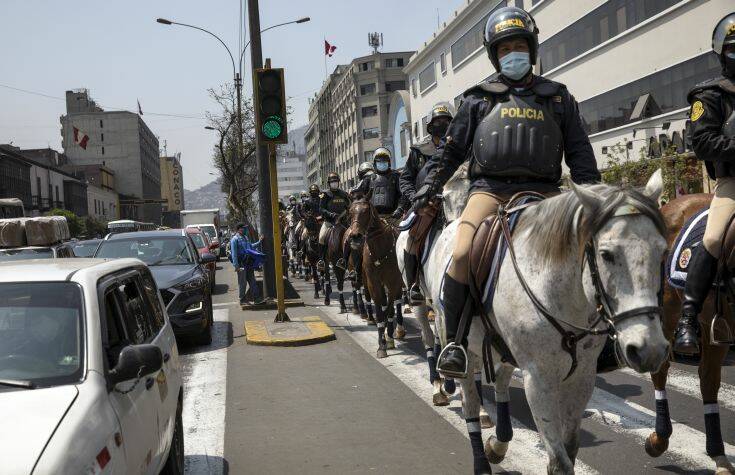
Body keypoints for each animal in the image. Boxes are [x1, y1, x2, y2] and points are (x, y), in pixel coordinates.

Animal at [350, 195, 406, 358]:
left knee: (394, 305)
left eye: (365, 211)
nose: (355, 236)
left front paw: (388, 339)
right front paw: (381, 346)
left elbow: (389, 311)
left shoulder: (394, 282)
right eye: (350, 211)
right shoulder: (373, 282)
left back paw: (394, 333)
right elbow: (381, 313)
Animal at [426, 172, 672, 475]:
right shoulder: (538, 379)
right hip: (462, 343)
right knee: (470, 402)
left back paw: (498, 444)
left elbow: (571, 447)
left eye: (662, 252)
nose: (650, 350)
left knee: (501, 383)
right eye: (606, 254)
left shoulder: (582, 376)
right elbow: (559, 462)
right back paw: (482, 459)